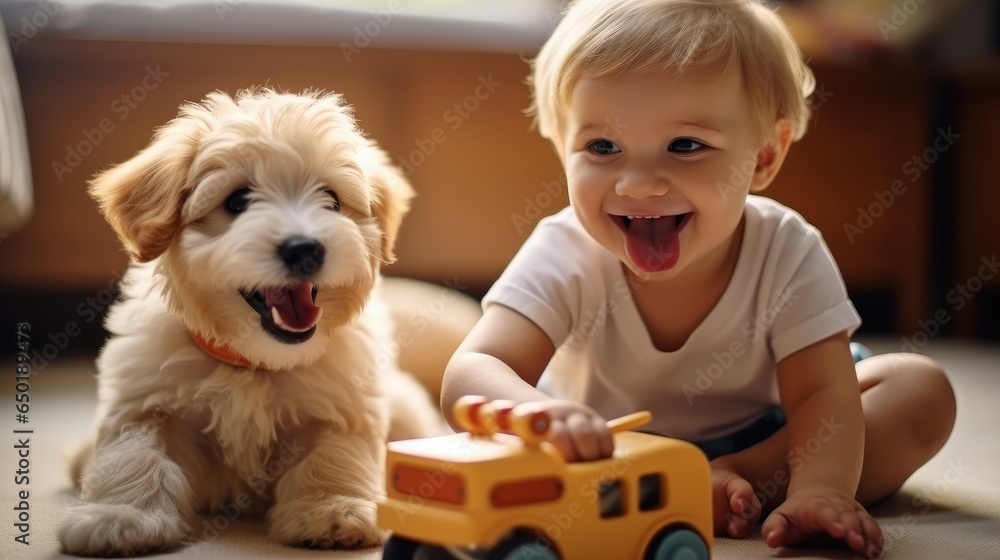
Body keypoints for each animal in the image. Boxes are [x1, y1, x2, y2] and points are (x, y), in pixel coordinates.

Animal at [57, 88, 442, 556]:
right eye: (237, 202)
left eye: (332, 200)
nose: (305, 249)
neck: (253, 362)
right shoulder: (147, 397)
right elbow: (134, 453)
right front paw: (120, 516)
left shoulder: (341, 402)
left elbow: (332, 454)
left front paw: (332, 509)